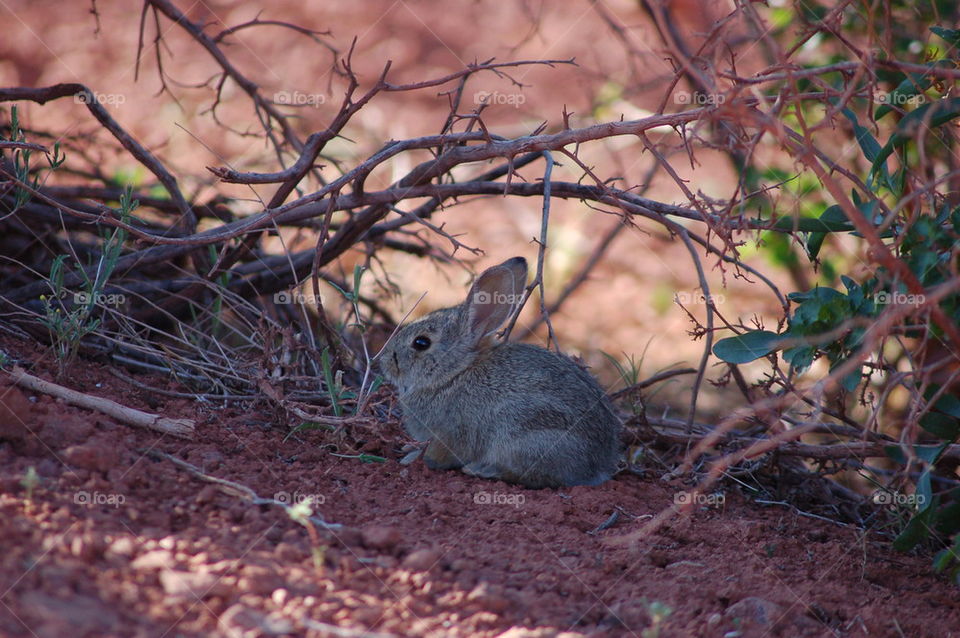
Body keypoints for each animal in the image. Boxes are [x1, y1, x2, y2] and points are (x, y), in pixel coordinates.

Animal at [380, 256, 620, 489]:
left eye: (421, 343)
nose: (384, 361)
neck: (454, 374)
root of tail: (597, 468)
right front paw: (408, 451)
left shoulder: (449, 434)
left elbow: (437, 455)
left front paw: (412, 459)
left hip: (525, 438)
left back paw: (482, 470)